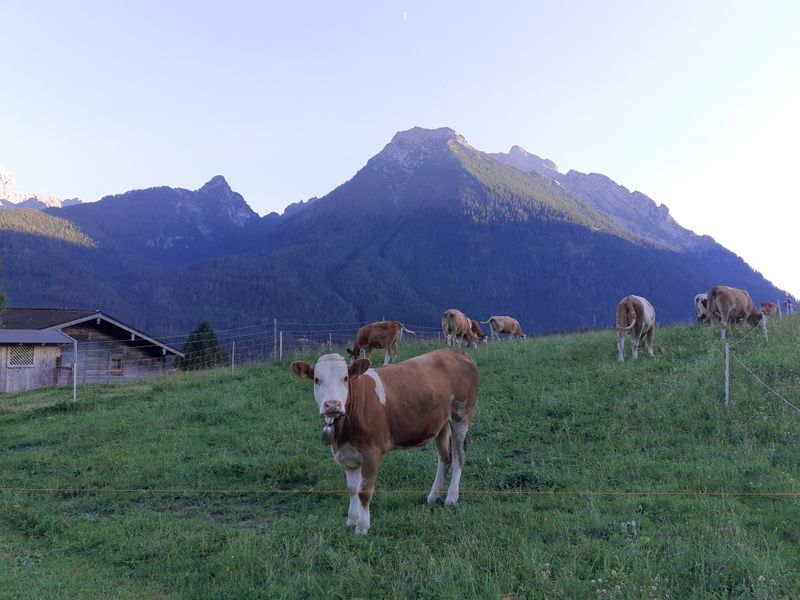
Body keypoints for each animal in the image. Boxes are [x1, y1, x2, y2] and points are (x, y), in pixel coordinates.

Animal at [294, 346, 482, 536]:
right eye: (317, 380)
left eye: (345, 378)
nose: (332, 404)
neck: (343, 433)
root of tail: (455, 351)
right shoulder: (346, 454)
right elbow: (352, 489)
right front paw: (351, 520)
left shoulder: (371, 453)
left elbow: (364, 491)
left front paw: (362, 526)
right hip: (440, 424)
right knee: (445, 458)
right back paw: (433, 496)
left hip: (461, 415)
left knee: (459, 456)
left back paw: (451, 498)